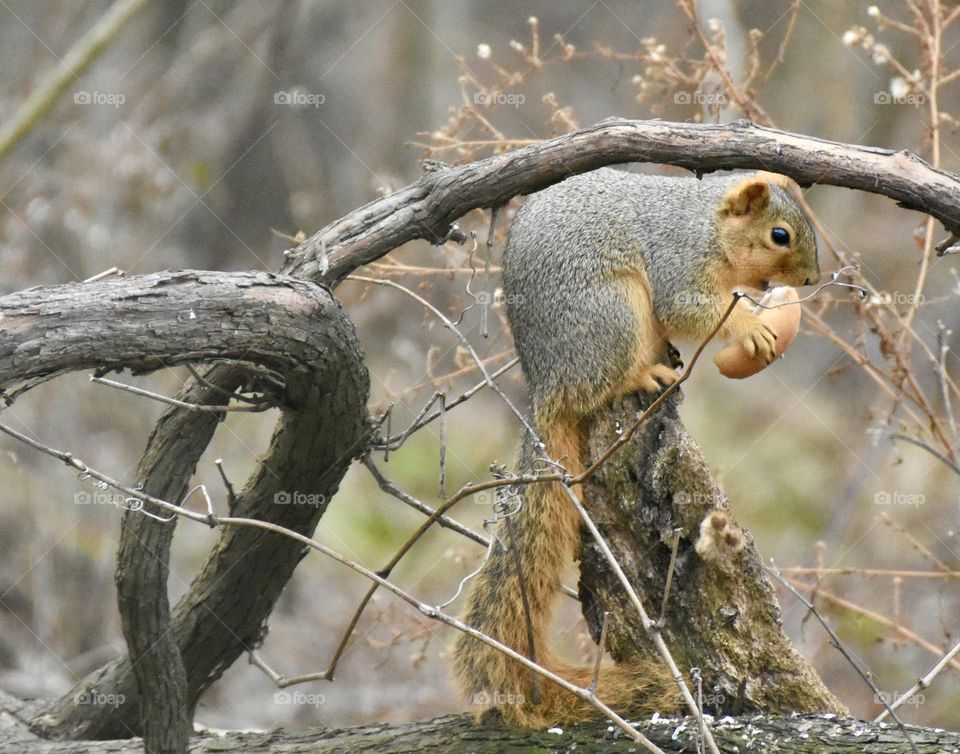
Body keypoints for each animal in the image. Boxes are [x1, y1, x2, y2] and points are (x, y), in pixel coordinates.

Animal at [453, 167, 820, 727]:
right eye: (780, 235)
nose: (812, 280)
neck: (707, 225)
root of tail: (546, 383)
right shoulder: (678, 262)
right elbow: (688, 308)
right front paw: (753, 327)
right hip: (612, 314)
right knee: (603, 384)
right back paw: (645, 374)